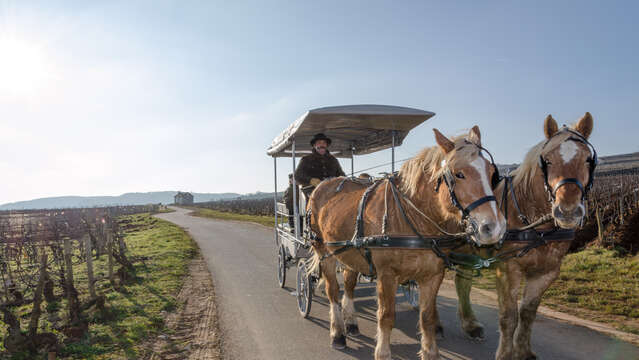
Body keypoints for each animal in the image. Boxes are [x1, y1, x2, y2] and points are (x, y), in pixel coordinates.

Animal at [308, 126, 508, 360]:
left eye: (492, 174)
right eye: (459, 174)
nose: (494, 228)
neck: (413, 217)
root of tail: (322, 185)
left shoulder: (433, 275)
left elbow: (427, 317)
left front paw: (430, 352)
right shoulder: (386, 274)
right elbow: (386, 316)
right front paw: (383, 352)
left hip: (350, 252)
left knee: (348, 285)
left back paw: (351, 322)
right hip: (324, 251)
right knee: (333, 291)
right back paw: (338, 332)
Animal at [456, 113, 596, 360]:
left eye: (588, 159)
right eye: (547, 161)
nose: (568, 211)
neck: (538, 227)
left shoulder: (546, 273)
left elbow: (528, 313)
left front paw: (523, 350)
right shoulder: (508, 269)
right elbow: (509, 316)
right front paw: (505, 353)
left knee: (462, 282)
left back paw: (470, 325)